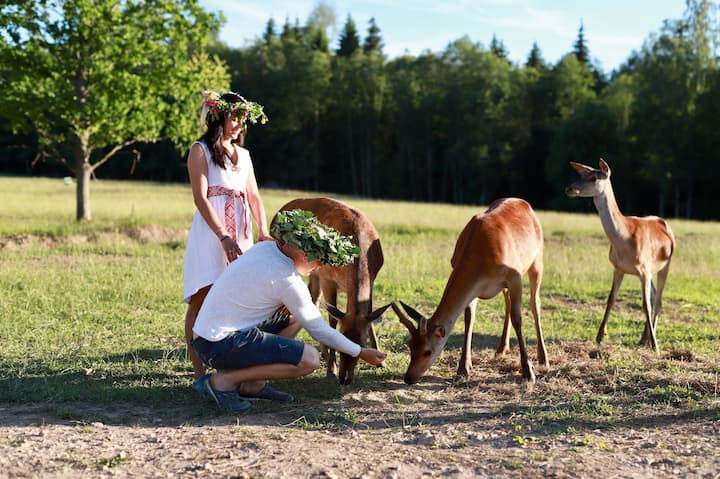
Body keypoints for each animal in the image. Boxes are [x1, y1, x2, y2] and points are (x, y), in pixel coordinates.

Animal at [278, 197, 390, 384]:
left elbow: (371, 315)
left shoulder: (373, 279)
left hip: (313, 274)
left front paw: (381, 362)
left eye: (362, 342)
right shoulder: (328, 279)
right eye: (342, 336)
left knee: (313, 298)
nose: (345, 379)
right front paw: (331, 369)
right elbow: (332, 319)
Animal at [390, 199, 548, 386]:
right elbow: (469, 320)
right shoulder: (474, 288)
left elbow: (518, 319)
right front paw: (463, 369)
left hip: (537, 259)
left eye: (427, 351)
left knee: (535, 303)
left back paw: (543, 358)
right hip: (506, 284)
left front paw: (528, 372)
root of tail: (525, 203)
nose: (408, 378)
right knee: (508, 303)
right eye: (410, 345)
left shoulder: (514, 275)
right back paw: (501, 349)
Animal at [568, 159, 676, 350]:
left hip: (666, 264)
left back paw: (651, 340)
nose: (569, 189)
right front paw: (599, 336)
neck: (624, 240)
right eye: (580, 175)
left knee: (658, 301)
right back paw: (643, 338)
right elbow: (611, 299)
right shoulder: (618, 267)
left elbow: (646, 305)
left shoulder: (644, 269)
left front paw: (656, 346)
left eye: (594, 177)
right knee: (654, 295)